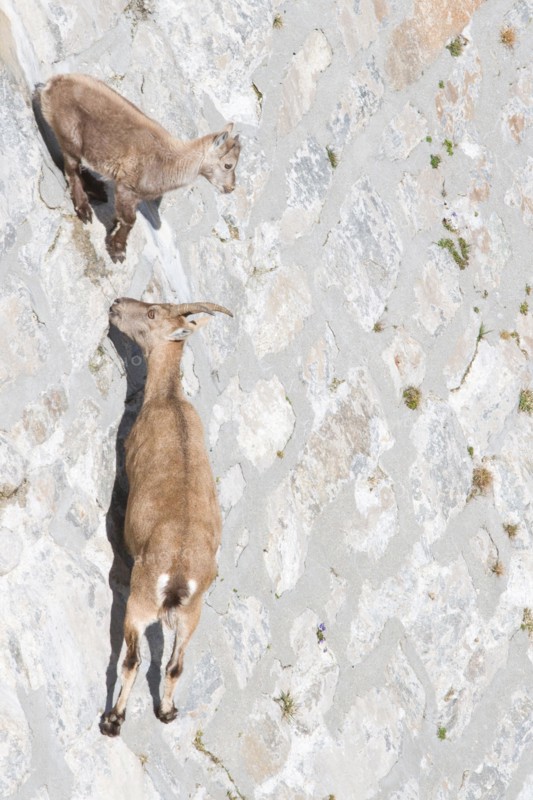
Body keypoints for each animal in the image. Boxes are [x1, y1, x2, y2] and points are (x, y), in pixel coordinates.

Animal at [40, 74, 241, 262]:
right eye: (228, 165)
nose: (230, 188)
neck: (170, 161)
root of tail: (52, 83)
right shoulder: (126, 186)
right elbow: (129, 220)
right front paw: (118, 250)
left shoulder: (136, 196)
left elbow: (123, 217)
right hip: (70, 137)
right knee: (72, 169)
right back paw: (84, 209)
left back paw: (97, 190)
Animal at [100, 297, 233, 737]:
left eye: (152, 313)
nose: (115, 304)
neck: (168, 400)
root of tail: (177, 579)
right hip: (193, 615)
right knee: (175, 665)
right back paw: (168, 712)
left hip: (140, 602)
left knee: (133, 659)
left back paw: (113, 720)